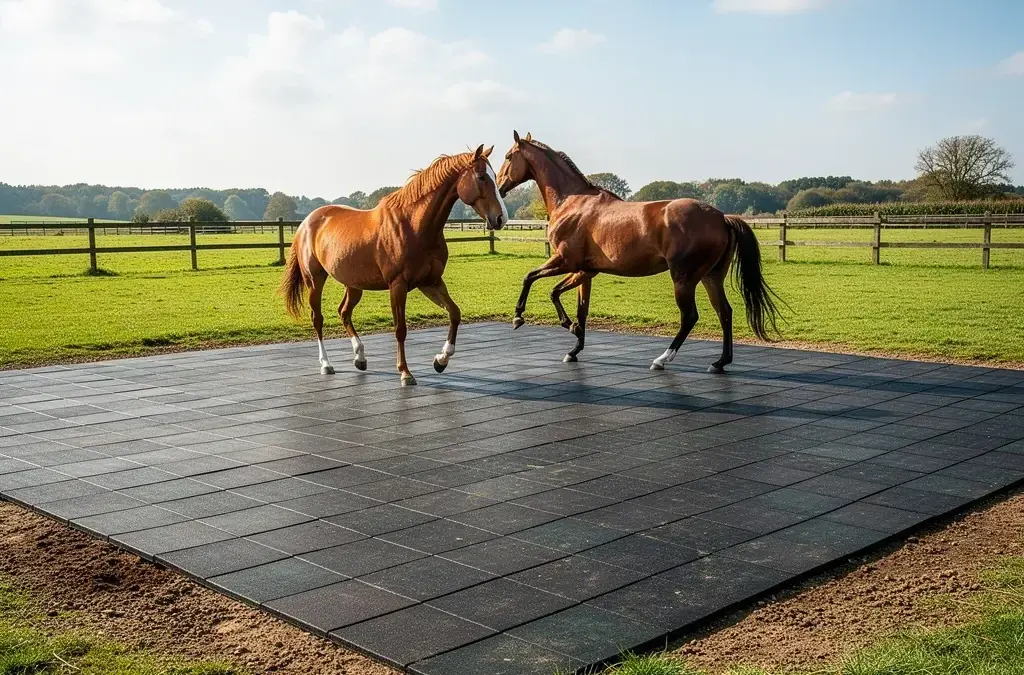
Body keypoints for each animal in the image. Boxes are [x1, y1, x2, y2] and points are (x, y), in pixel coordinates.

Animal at [279, 144, 508, 386]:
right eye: (482, 176)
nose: (501, 218)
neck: (414, 225)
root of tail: (306, 223)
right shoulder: (397, 285)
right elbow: (400, 329)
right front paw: (405, 373)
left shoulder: (431, 282)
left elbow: (454, 313)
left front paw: (441, 360)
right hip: (315, 280)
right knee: (318, 319)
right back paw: (326, 364)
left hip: (354, 285)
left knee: (344, 312)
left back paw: (360, 357)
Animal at [494, 131, 785, 373]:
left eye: (508, 157)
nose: (498, 187)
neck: (572, 202)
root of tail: (722, 217)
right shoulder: (585, 271)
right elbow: (578, 307)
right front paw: (574, 345)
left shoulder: (565, 261)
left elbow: (533, 279)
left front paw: (521, 317)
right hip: (711, 277)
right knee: (724, 312)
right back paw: (720, 362)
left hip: (684, 278)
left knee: (690, 316)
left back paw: (662, 359)